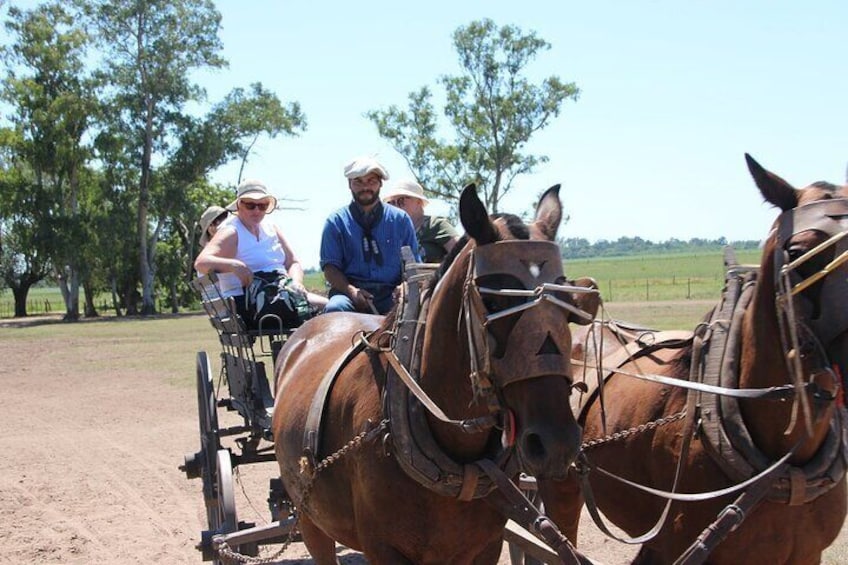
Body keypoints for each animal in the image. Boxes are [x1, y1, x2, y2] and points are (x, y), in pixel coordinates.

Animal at [272, 186, 596, 564]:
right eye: (494, 303)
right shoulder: (382, 549)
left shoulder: (486, 546)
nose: (557, 443)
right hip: (310, 517)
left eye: (568, 304)